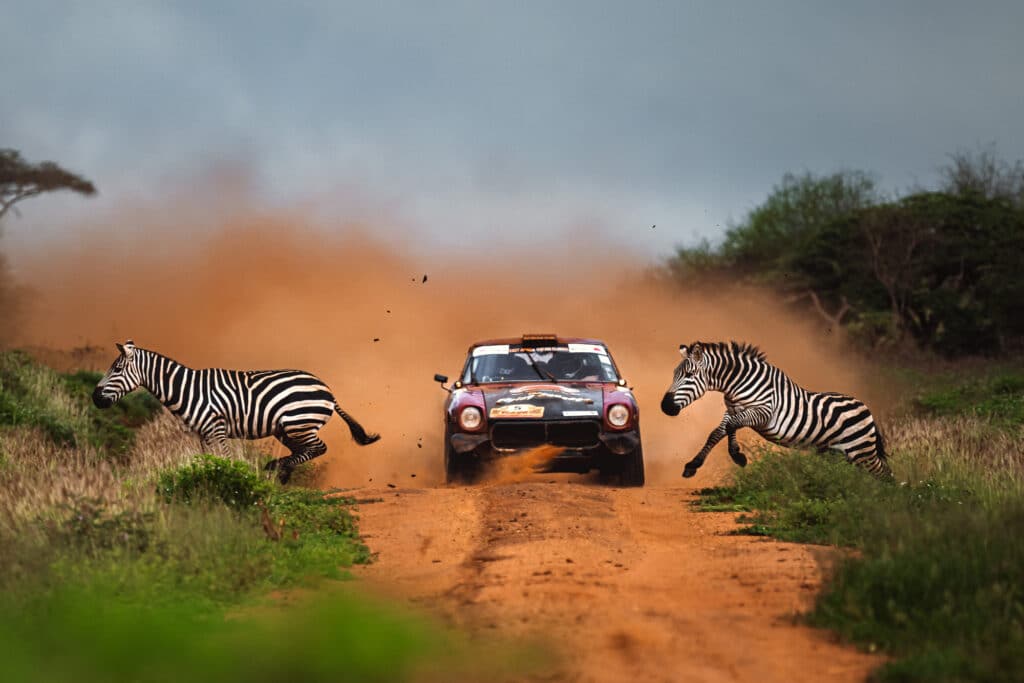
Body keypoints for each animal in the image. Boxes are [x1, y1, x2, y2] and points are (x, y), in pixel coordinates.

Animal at [91, 339, 380, 481]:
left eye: (117, 369)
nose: (94, 398)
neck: (186, 390)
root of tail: (327, 389)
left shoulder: (217, 428)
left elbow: (227, 461)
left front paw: (233, 480)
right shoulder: (203, 434)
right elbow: (209, 461)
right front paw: (209, 481)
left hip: (299, 422)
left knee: (318, 448)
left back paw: (278, 468)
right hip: (287, 430)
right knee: (304, 451)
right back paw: (282, 471)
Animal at [659, 342, 892, 481]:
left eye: (689, 375)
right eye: (674, 373)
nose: (665, 407)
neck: (737, 385)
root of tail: (867, 409)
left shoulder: (764, 412)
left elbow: (732, 427)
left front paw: (738, 457)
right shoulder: (731, 410)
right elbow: (717, 433)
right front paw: (693, 465)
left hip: (861, 450)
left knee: (884, 473)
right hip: (839, 453)